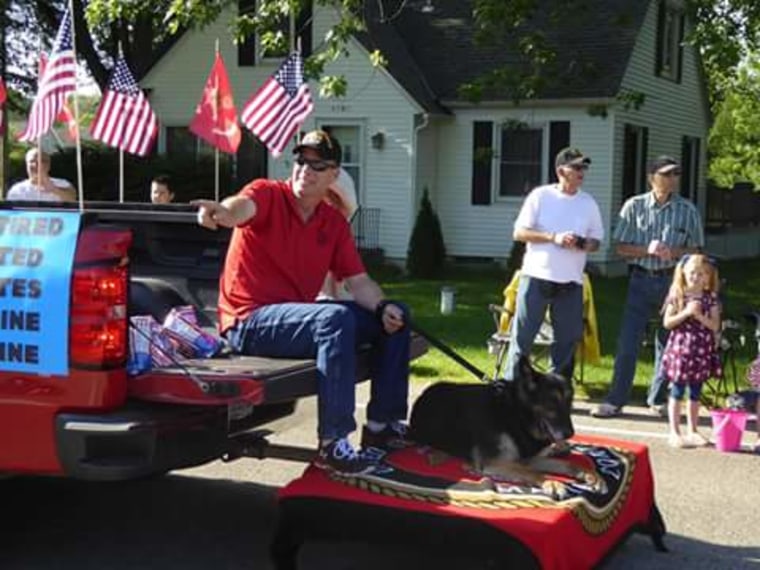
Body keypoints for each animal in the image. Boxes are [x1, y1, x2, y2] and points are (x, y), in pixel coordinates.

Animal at [410, 358, 604, 494]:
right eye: (551, 404)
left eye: (569, 402)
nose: (570, 434)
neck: (515, 413)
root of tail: (423, 395)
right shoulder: (495, 462)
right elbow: (529, 471)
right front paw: (552, 482)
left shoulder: (531, 458)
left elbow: (570, 465)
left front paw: (593, 477)